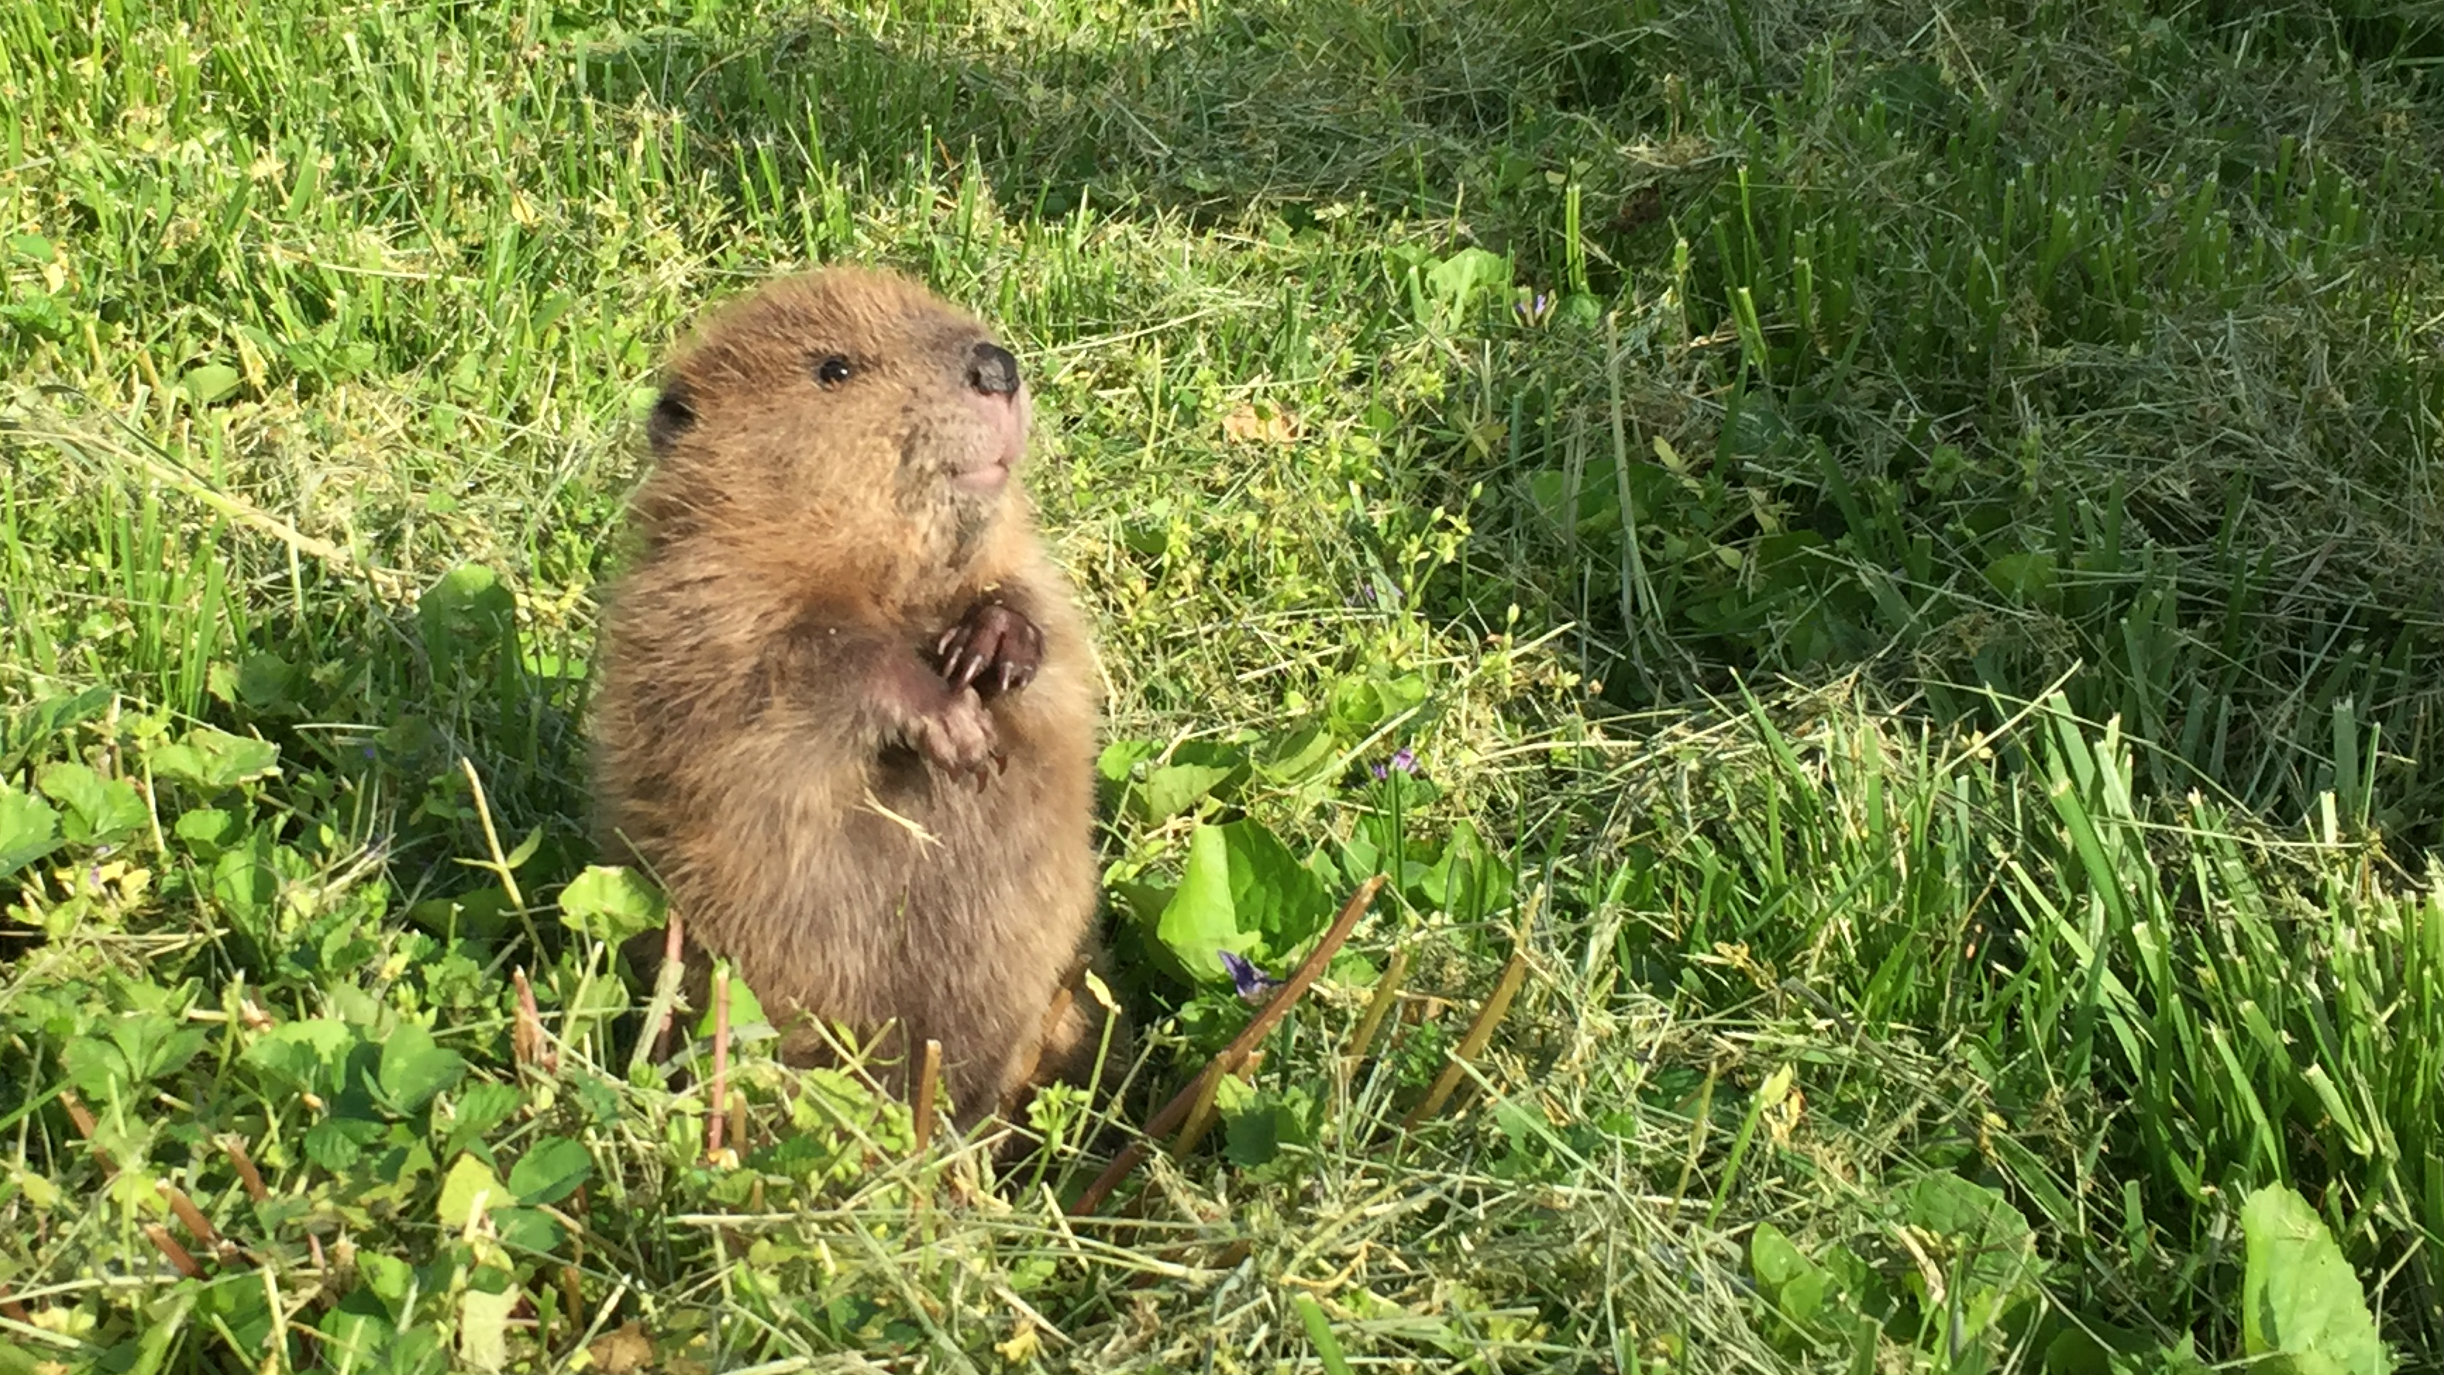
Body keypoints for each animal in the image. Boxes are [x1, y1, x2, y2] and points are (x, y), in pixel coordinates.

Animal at [596, 263, 1114, 1123]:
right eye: (834, 368)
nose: (995, 365)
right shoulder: (699, 610)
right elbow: (808, 664)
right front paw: (958, 729)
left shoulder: (1024, 573)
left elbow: (1044, 622)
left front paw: (991, 647)